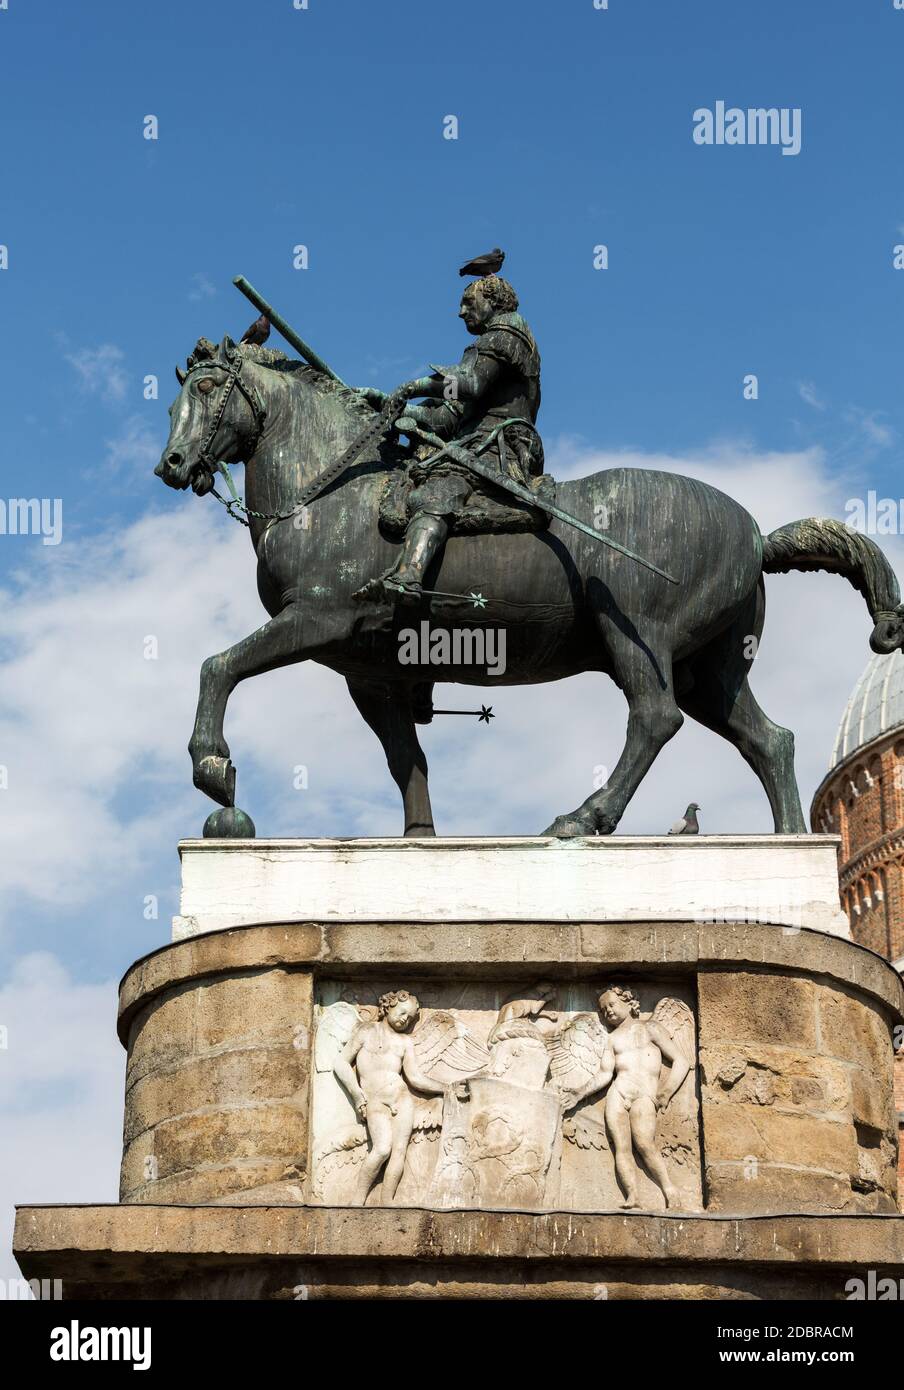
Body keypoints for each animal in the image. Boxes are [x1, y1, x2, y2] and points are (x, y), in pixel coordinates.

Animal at [155, 334, 901, 834]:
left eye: (206, 390)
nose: (173, 464)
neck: (333, 492)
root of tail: (755, 535)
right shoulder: (369, 673)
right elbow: (407, 760)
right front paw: (419, 842)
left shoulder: (319, 618)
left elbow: (219, 665)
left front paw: (212, 767)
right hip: (711, 666)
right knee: (769, 740)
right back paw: (791, 847)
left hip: (639, 634)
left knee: (655, 717)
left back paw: (583, 818)